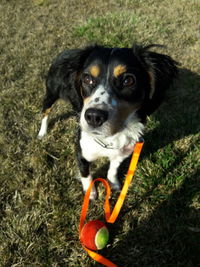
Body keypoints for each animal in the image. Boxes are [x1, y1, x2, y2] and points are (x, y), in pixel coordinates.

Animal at [37, 43, 178, 199]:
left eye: (128, 80)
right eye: (87, 79)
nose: (93, 117)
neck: (110, 137)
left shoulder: (123, 151)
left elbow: (113, 169)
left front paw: (113, 183)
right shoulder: (81, 152)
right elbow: (86, 174)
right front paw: (90, 192)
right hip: (51, 93)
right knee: (45, 111)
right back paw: (42, 132)